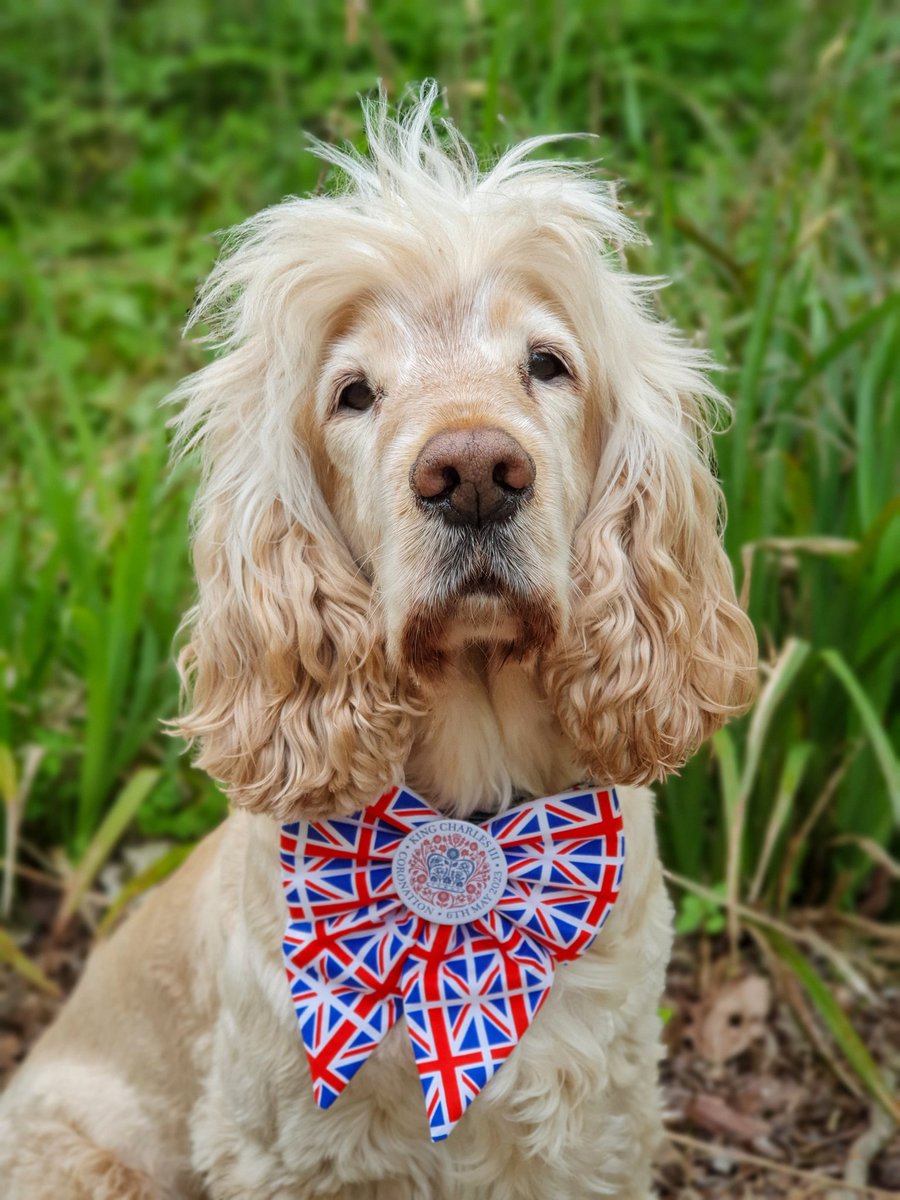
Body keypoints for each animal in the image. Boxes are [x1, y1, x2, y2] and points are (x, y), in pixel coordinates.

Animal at [0, 87, 758, 1200]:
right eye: (355, 392)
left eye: (546, 364)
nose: (475, 472)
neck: (478, 811)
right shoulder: (289, 1148)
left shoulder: (595, 1128)